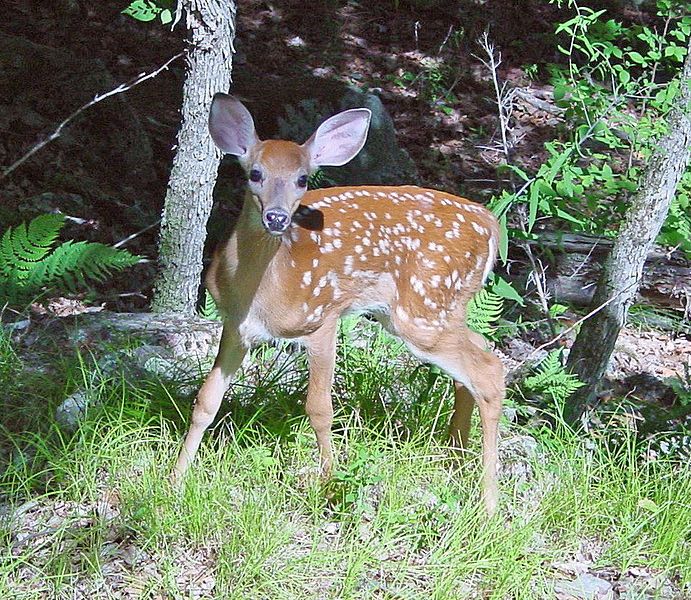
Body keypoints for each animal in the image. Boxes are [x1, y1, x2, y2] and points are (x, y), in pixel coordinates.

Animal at [173, 93, 505, 515]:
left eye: (302, 179)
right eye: (255, 173)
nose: (276, 218)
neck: (261, 291)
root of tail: (491, 224)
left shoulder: (323, 317)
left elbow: (319, 409)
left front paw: (330, 485)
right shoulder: (235, 327)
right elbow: (205, 401)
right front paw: (175, 478)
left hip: (422, 309)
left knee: (490, 370)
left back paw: (488, 503)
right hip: (436, 309)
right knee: (479, 351)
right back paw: (456, 455)